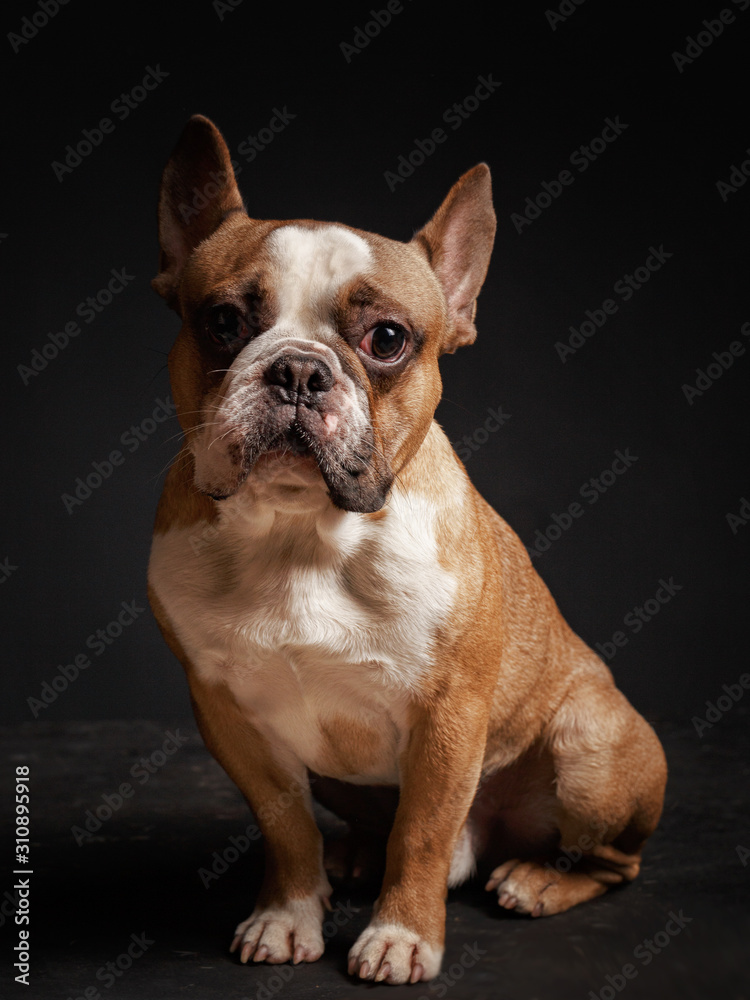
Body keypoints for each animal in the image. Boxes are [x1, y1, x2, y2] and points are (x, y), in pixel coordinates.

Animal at [148, 115, 668, 984]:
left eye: (387, 339)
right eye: (223, 322)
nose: (297, 371)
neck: (301, 533)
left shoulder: (448, 716)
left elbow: (422, 835)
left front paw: (400, 936)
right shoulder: (230, 714)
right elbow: (286, 828)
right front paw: (289, 914)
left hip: (590, 750)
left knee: (609, 862)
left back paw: (535, 880)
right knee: (367, 826)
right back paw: (355, 857)